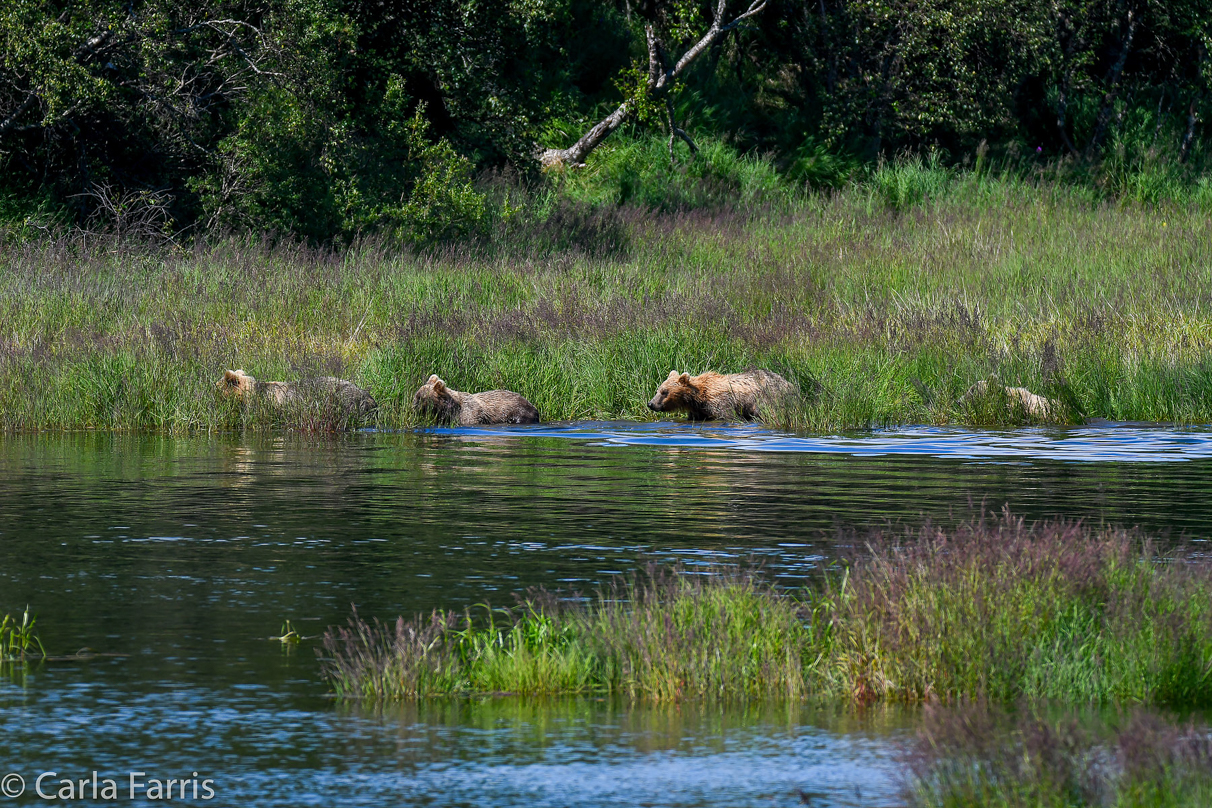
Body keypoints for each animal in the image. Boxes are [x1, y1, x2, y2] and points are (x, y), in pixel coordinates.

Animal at [644, 368, 795, 421]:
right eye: (658, 390)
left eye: (664, 392)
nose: (651, 404)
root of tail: (788, 382)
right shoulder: (698, 410)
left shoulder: (720, 402)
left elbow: (727, 416)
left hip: (768, 399)